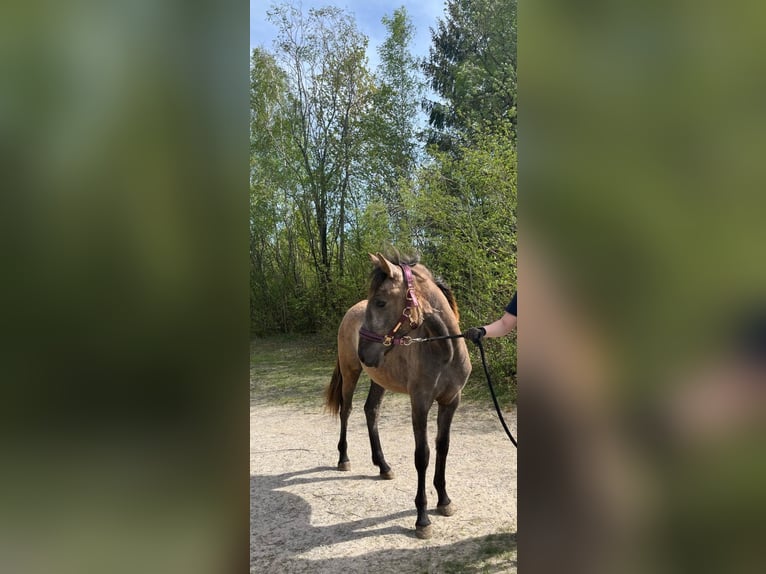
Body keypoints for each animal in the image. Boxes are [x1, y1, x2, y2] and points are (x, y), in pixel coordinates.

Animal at [326, 252, 474, 540]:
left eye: (381, 302)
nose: (364, 352)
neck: (444, 350)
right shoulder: (420, 403)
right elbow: (422, 455)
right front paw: (422, 519)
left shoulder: (451, 402)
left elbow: (443, 447)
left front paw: (444, 501)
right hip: (351, 373)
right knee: (346, 411)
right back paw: (343, 459)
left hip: (378, 380)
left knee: (371, 411)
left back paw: (383, 466)